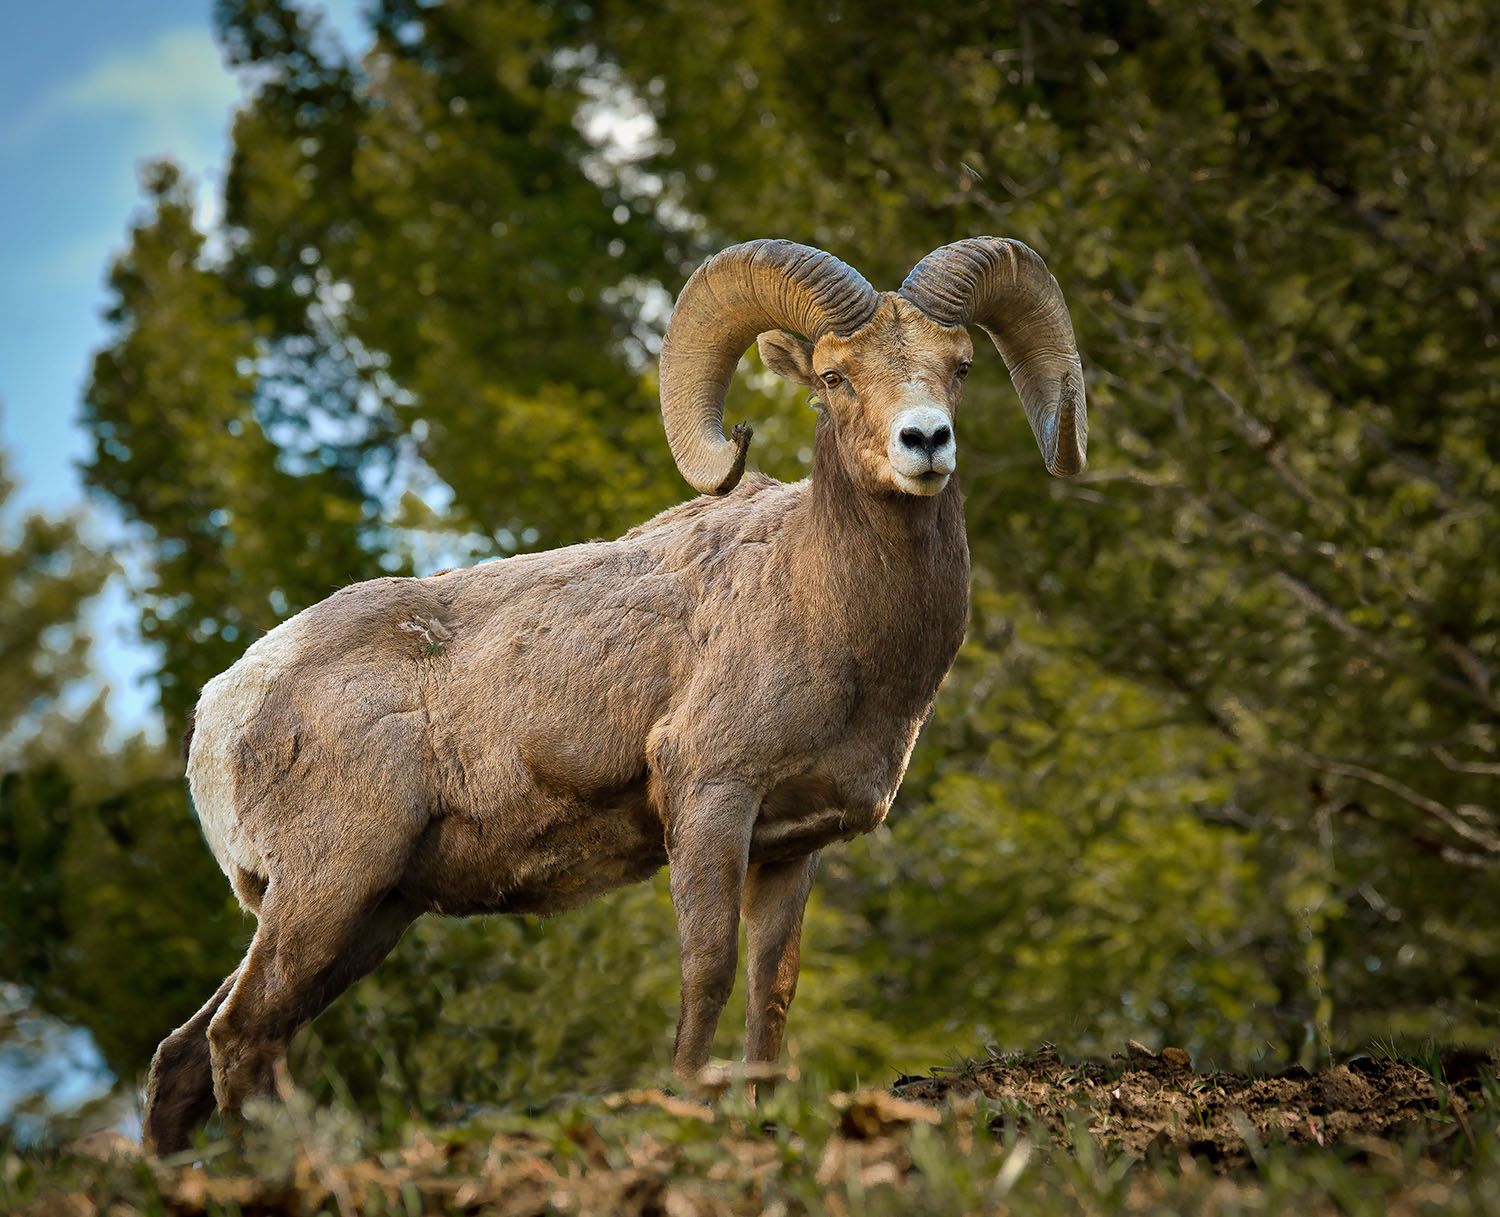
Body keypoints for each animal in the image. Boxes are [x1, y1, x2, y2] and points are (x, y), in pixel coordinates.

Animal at [142, 236, 1087, 1153]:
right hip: (329, 892)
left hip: (366, 913)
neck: (821, 600)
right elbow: (708, 968)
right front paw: (690, 1106)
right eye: (834, 376)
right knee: (239, 1038)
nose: (925, 441)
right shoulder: (710, 801)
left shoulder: (791, 846)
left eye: (959, 365)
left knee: (190, 1054)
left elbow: (771, 988)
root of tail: (223, 706)